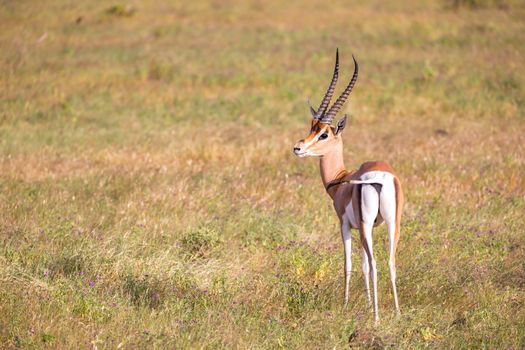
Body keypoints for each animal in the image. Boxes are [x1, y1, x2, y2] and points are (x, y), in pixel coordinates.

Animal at [292, 50, 404, 322]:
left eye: (324, 134)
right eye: (311, 127)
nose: (297, 148)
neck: (341, 180)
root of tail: (380, 176)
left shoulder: (344, 225)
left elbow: (350, 264)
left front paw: (345, 305)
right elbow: (362, 265)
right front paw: (366, 304)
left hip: (365, 225)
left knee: (375, 264)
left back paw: (377, 318)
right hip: (392, 223)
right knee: (390, 262)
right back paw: (396, 312)